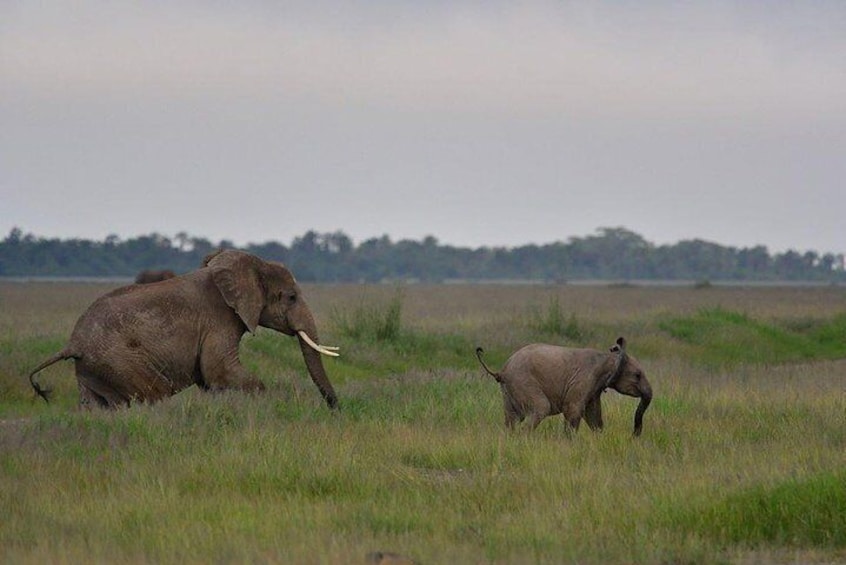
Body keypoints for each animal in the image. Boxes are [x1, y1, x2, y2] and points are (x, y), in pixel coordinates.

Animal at [29, 249, 342, 408]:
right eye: (291, 297)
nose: (335, 408)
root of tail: (72, 344)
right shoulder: (218, 321)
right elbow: (219, 370)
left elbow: (210, 376)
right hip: (118, 362)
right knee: (147, 397)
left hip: (93, 371)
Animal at [480, 334, 652, 436]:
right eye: (637, 375)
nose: (634, 436)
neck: (609, 358)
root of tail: (502, 371)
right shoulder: (583, 380)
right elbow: (573, 411)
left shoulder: (595, 388)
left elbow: (593, 415)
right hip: (522, 382)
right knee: (541, 408)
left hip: (509, 391)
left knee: (512, 419)